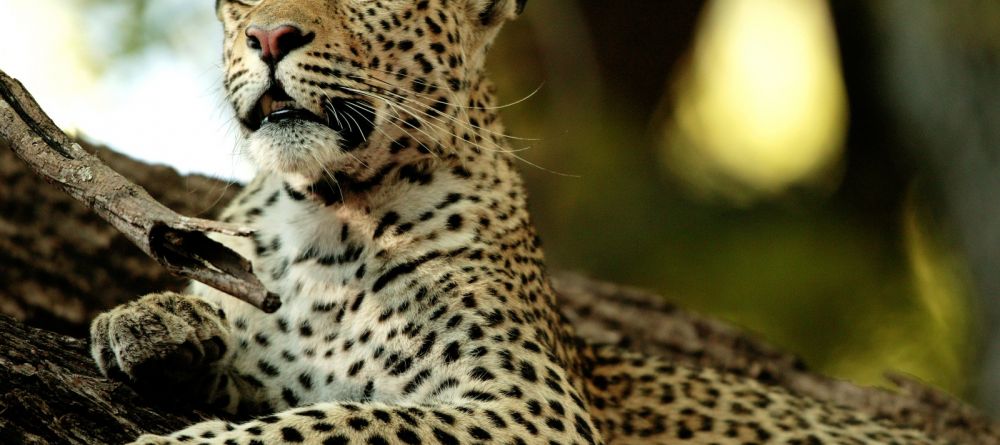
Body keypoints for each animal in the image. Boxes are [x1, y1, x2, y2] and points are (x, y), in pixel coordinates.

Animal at [89, 0, 946, 444]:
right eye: (241, 0)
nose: (268, 36)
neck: (323, 216)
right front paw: (152, 322)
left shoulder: (529, 402)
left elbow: (334, 422)